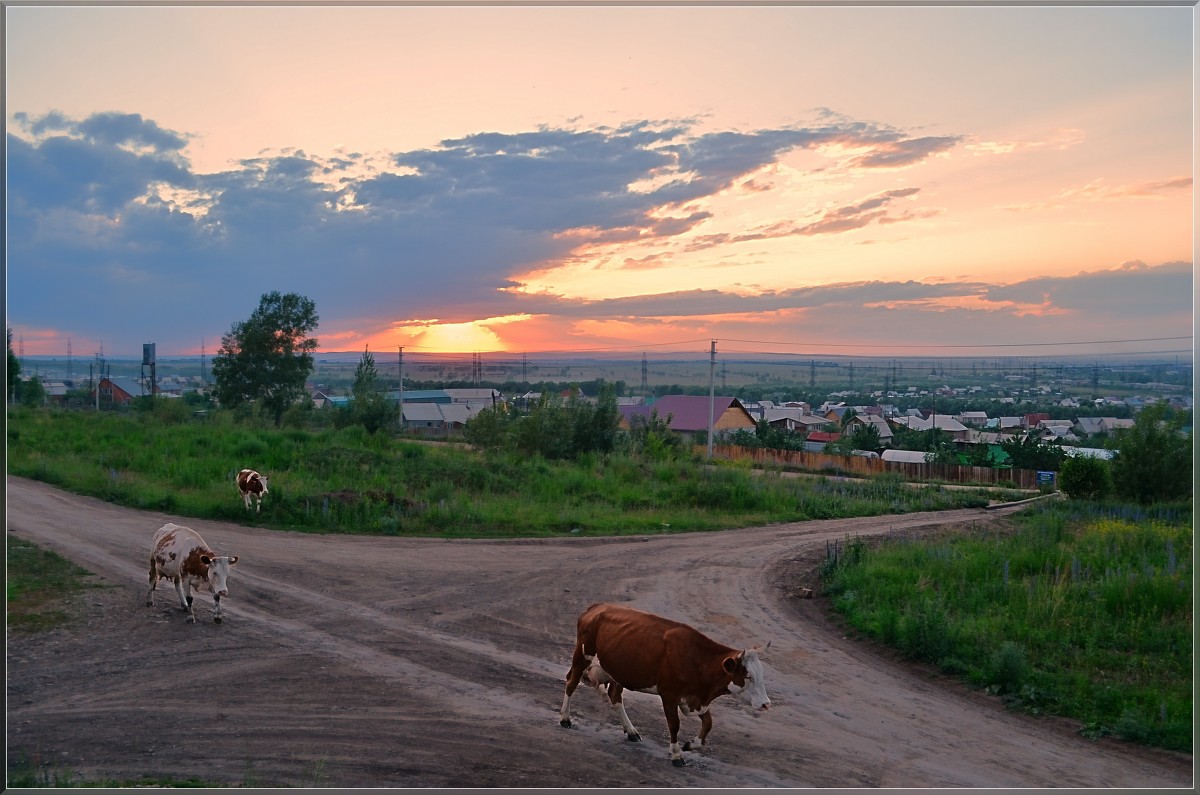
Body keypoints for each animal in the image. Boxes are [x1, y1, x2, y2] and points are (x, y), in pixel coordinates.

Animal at [559, 607, 772, 768]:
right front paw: (677, 754)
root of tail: (596, 607)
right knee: (571, 682)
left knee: (614, 695)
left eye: (761, 674)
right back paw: (565, 718)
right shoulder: (669, 695)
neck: (697, 660)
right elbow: (674, 725)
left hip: (616, 670)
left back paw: (631, 731)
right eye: (748, 676)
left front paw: (691, 744)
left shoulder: (695, 699)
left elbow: (708, 724)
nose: (766, 704)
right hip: (583, 655)